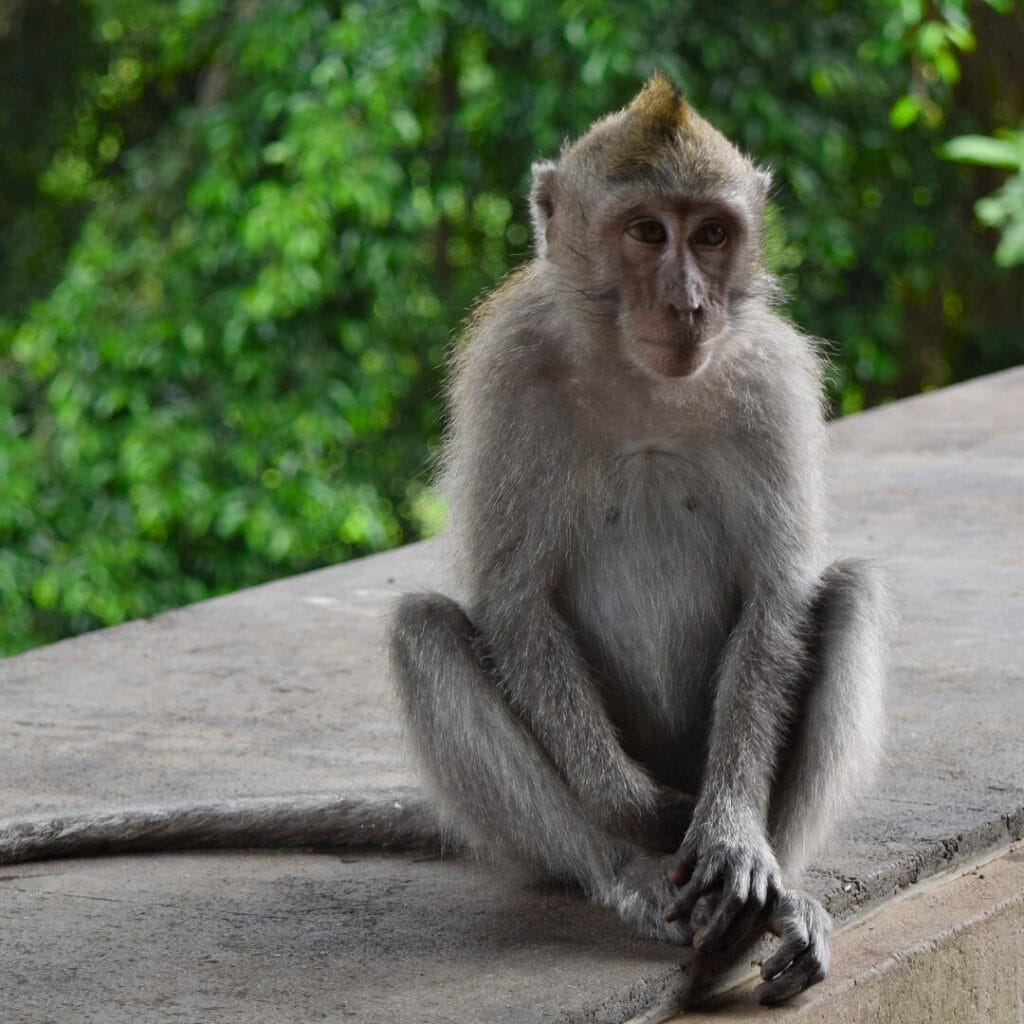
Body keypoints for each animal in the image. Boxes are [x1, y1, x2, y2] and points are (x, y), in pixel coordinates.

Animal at [0, 74, 890, 1009]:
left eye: (712, 234)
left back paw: (773, 901)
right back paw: (628, 870)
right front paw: (637, 810)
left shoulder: (773, 379)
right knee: (424, 633)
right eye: (648, 232)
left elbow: (773, 595)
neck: (640, 377)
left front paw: (729, 836)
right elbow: (512, 594)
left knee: (848, 595)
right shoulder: (507, 367)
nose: (689, 305)